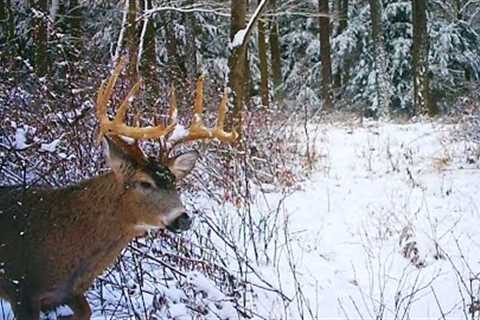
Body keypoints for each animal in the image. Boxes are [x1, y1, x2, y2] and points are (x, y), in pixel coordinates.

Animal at [0, 58, 237, 318]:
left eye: (175, 182)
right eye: (144, 182)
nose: (183, 218)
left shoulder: (70, 293)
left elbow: (86, 311)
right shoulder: (20, 288)